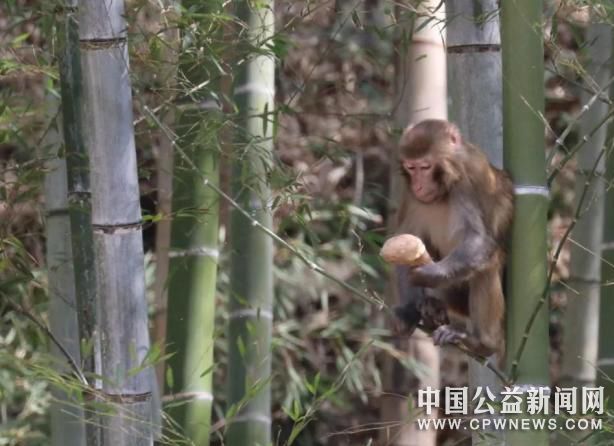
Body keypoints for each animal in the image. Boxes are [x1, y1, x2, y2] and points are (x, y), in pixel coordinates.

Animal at [394, 118, 516, 356]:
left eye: (425, 167)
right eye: (411, 168)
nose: (418, 185)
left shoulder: (465, 181)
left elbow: (478, 240)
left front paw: (429, 273)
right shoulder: (409, 194)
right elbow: (406, 240)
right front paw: (408, 310)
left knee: (487, 264)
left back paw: (482, 343)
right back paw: (434, 309)